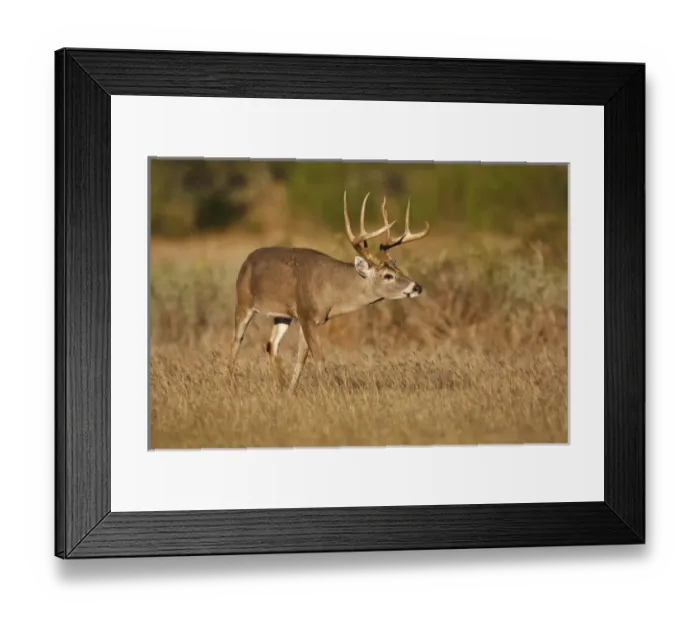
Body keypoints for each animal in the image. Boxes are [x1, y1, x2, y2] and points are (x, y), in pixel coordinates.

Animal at [227, 190, 431, 392]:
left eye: (399, 270)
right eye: (388, 275)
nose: (417, 287)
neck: (331, 289)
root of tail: (247, 260)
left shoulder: (307, 318)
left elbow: (302, 357)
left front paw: (292, 391)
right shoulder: (306, 314)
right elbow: (319, 357)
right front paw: (328, 391)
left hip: (282, 315)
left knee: (271, 345)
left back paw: (281, 386)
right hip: (243, 302)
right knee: (236, 341)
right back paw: (230, 384)